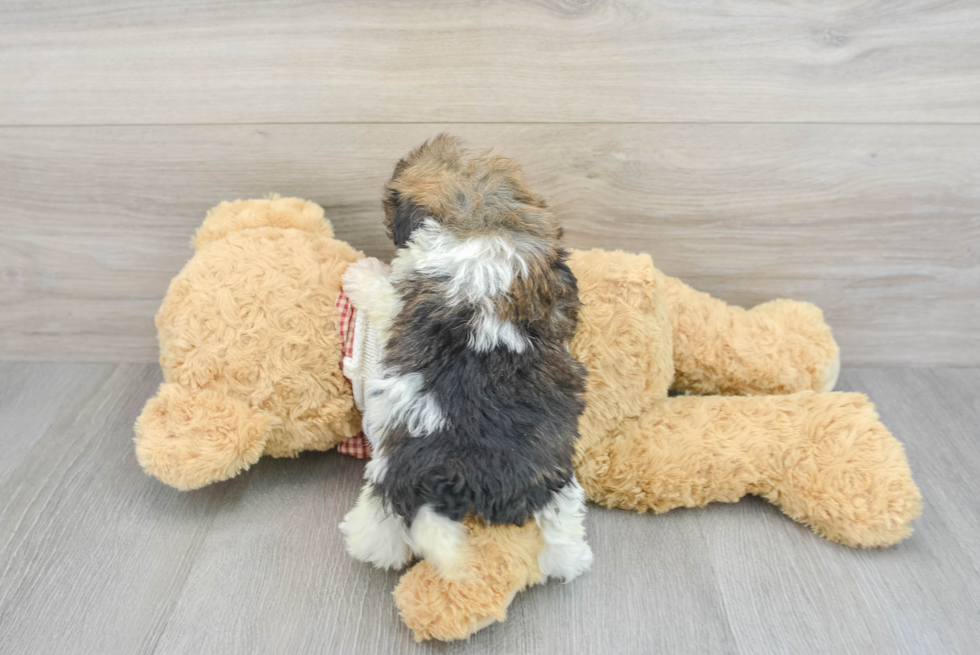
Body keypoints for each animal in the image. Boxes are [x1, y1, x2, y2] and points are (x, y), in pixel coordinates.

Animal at [340, 136, 592, 580]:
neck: (483, 219)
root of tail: (459, 476)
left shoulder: (405, 299)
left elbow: (384, 293)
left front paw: (362, 271)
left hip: (389, 479)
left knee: (380, 530)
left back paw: (365, 543)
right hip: (555, 480)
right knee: (562, 528)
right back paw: (572, 560)